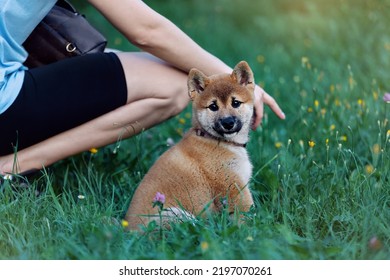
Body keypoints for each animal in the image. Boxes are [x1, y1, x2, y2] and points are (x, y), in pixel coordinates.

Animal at [125, 61, 256, 230]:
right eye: (213, 106)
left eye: (235, 103)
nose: (228, 122)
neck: (214, 139)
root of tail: (129, 231)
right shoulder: (232, 186)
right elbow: (247, 214)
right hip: (178, 215)